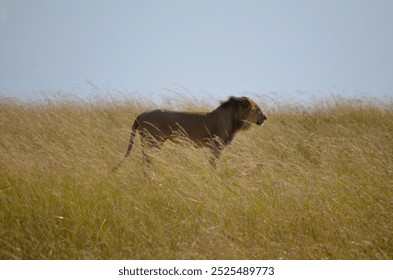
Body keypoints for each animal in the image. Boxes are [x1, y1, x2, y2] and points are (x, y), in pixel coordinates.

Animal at [115, 96, 264, 168]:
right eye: (258, 110)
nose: (265, 118)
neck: (235, 121)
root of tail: (140, 115)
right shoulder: (216, 146)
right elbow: (213, 163)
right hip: (153, 141)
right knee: (147, 160)